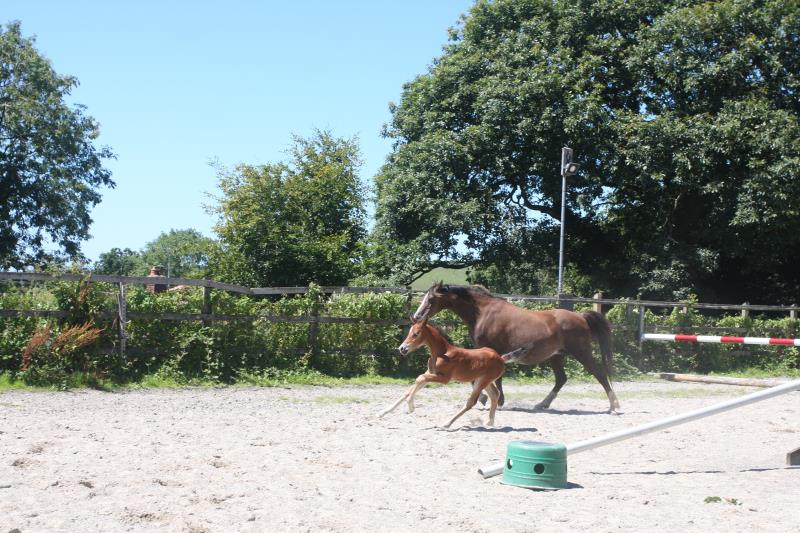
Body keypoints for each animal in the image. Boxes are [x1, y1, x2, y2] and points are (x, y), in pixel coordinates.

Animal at [380, 318, 528, 426]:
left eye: (416, 334)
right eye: (409, 332)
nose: (402, 349)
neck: (442, 353)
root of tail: (501, 358)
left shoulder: (444, 379)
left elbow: (420, 378)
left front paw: (411, 406)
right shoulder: (431, 373)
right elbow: (411, 387)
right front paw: (382, 412)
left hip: (482, 381)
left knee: (471, 402)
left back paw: (446, 423)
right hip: (484, 381)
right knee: (495, 395)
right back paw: (489, 422)